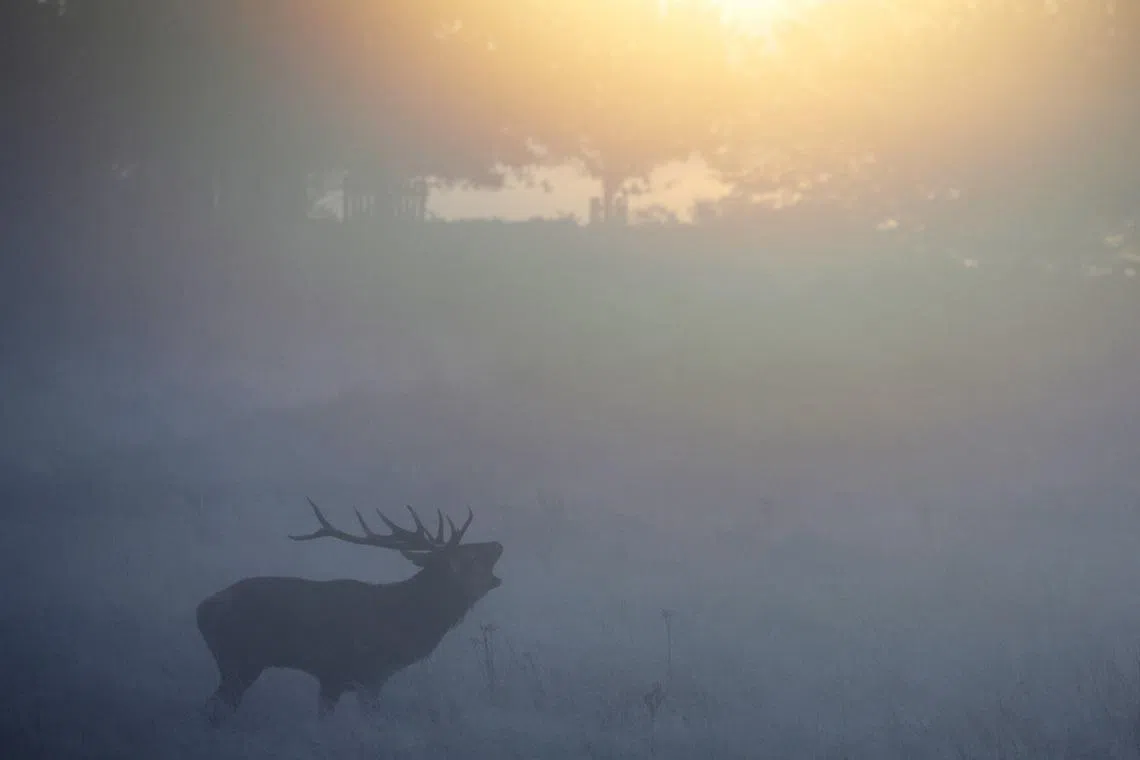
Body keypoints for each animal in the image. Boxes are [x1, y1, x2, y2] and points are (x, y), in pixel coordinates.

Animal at [195, 499, 503, 724]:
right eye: (470, 556)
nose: (498, 543)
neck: (403, 624)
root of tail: (202, 609)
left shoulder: (341, 679)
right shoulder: (356, 674)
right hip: (238, 661)